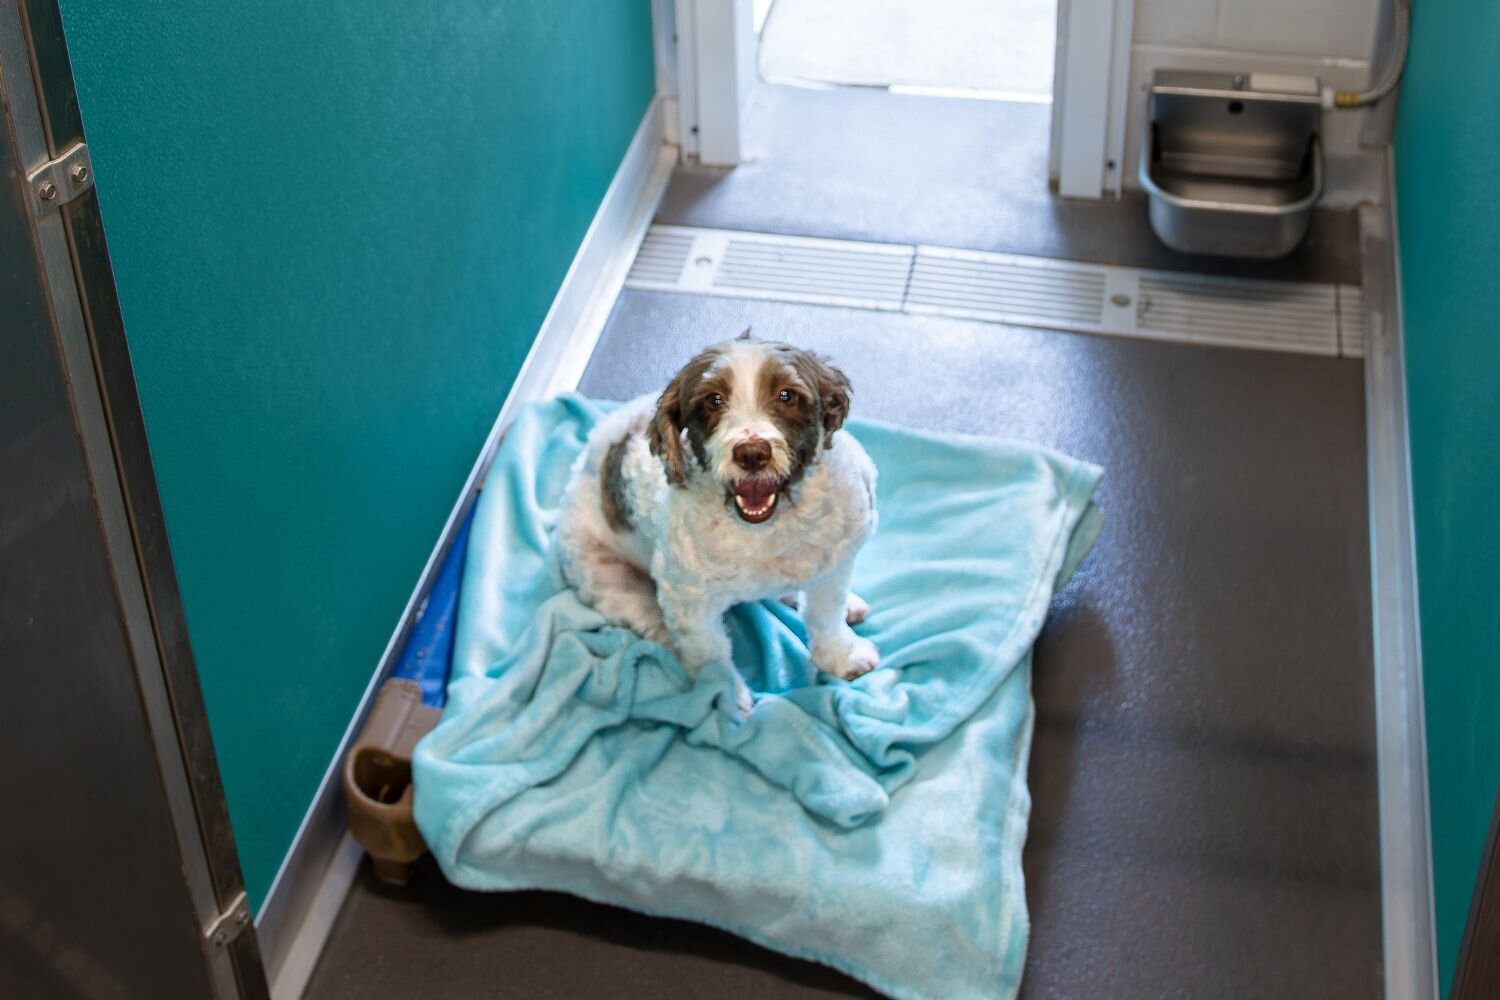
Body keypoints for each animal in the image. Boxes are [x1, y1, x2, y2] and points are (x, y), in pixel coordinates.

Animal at [556, 331, 879, 715]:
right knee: (653, 623)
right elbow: (710, 651)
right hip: (610, 579)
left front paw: (843, 656)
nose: (752, 453)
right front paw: (726, 694)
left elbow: (826, 617)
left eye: (786, 395)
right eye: (714, 400)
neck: (770, 530)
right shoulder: (687, 600)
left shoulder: (835, 565)